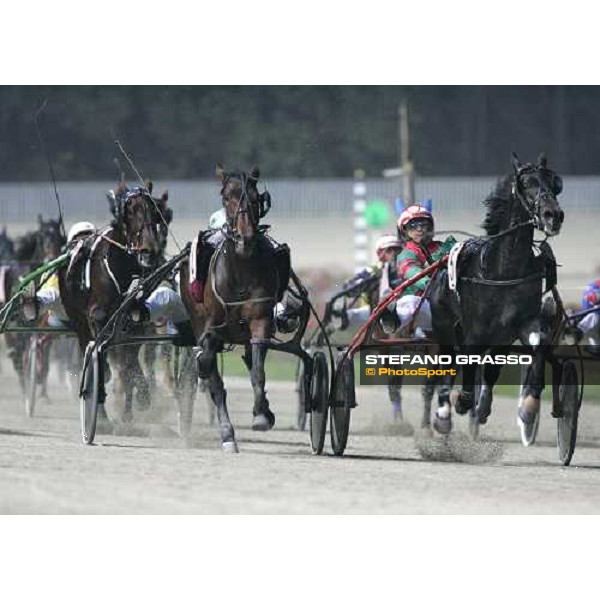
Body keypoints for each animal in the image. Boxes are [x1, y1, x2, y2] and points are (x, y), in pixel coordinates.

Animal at [59, 185, 163, 424]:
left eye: (154, 211)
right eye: (131, 211)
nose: (149, 250)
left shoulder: (134, 323)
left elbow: (128, 366)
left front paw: (132, 408)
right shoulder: (97, 318)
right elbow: (101, 361)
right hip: (78, 320)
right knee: (90, 349)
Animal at [428, 152, 564, 438]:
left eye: (554, 183)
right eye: (526, 183)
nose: (553, 215)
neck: (503, 271)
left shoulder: (516, 327)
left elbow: (534, 346)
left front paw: (528, 408)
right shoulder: (475, 331)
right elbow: (467, 363)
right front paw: (463, 401)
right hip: (443, 324)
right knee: (449, 361)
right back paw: (445, 412)